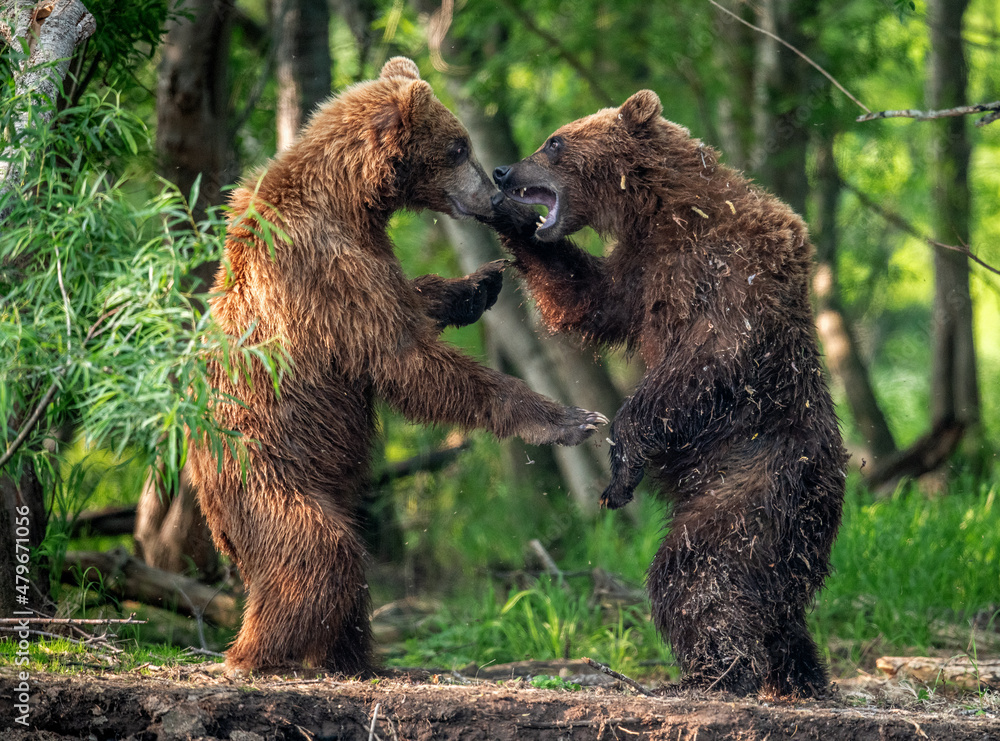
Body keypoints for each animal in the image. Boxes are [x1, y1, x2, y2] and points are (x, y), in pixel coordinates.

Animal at [187, 57, 607, 675]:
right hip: (263, 470)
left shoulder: (369, 256)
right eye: (458, 148)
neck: (351, 201)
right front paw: (569, 419)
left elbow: (410, 300)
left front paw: (477, 284)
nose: (494, 195)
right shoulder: (327, 273)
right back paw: (260, 653)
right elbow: (405, 359)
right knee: (315, 555)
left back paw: (353, 653)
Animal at [487, 89, 848, 698]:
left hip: (754, 476)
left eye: (554, 141)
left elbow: (706, 359)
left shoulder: (729, 270)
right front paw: (509, 217)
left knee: (700, 565)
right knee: (775, 601)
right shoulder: (643, 271)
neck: (665, 211)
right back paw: (800, 673)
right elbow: (590, 296)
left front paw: (619, 465)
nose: (502, 170)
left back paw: (715, 673)